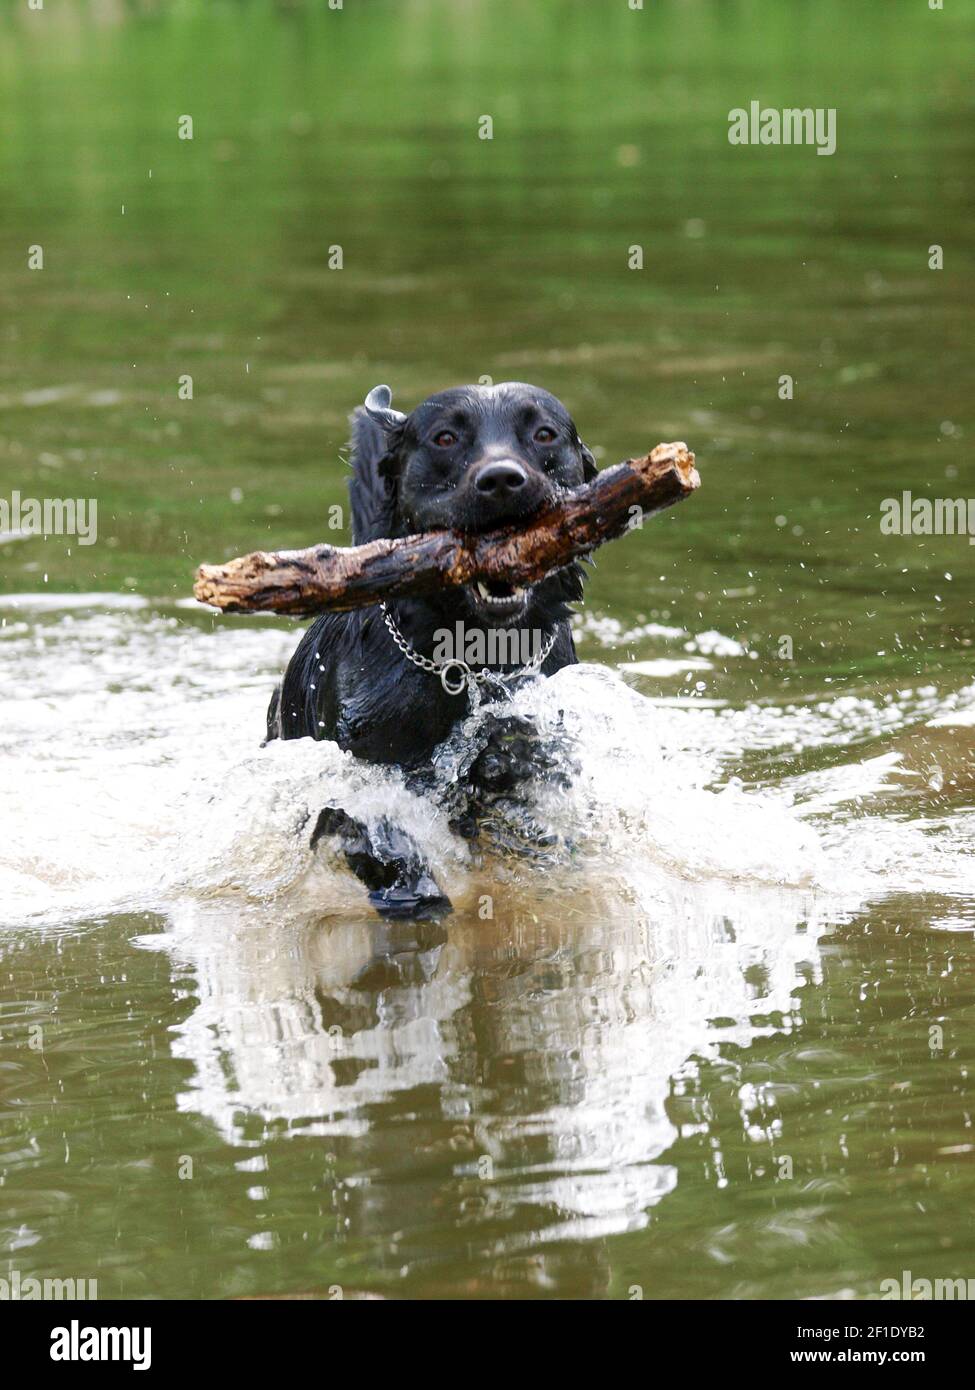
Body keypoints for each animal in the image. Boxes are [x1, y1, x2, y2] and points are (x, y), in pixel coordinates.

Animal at [269, 386, 598, 917]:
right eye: (445, 437)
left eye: (545, 433)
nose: (501, 480)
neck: (474, 657)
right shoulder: (358, 767)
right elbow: (374, 827)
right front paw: (412, 889)